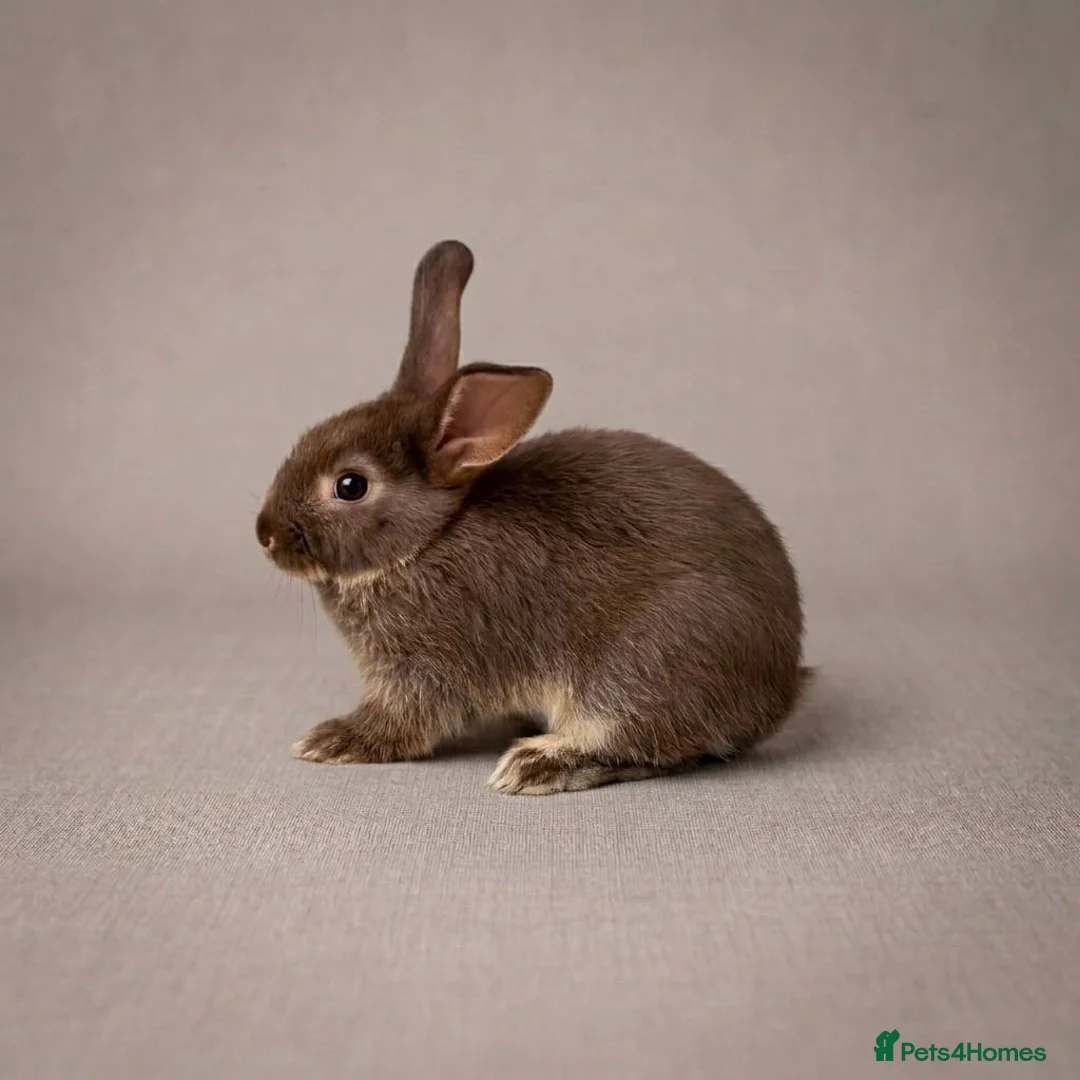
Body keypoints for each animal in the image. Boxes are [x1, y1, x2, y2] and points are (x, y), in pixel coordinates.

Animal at [256, 239, 811, 795]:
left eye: (350, 485)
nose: (265, 534)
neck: (428, 540)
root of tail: (778, 690)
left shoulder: (424, 668)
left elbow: (403, 720)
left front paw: (332, 739)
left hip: (639, 665)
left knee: (638, 743)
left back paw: (537, 762)